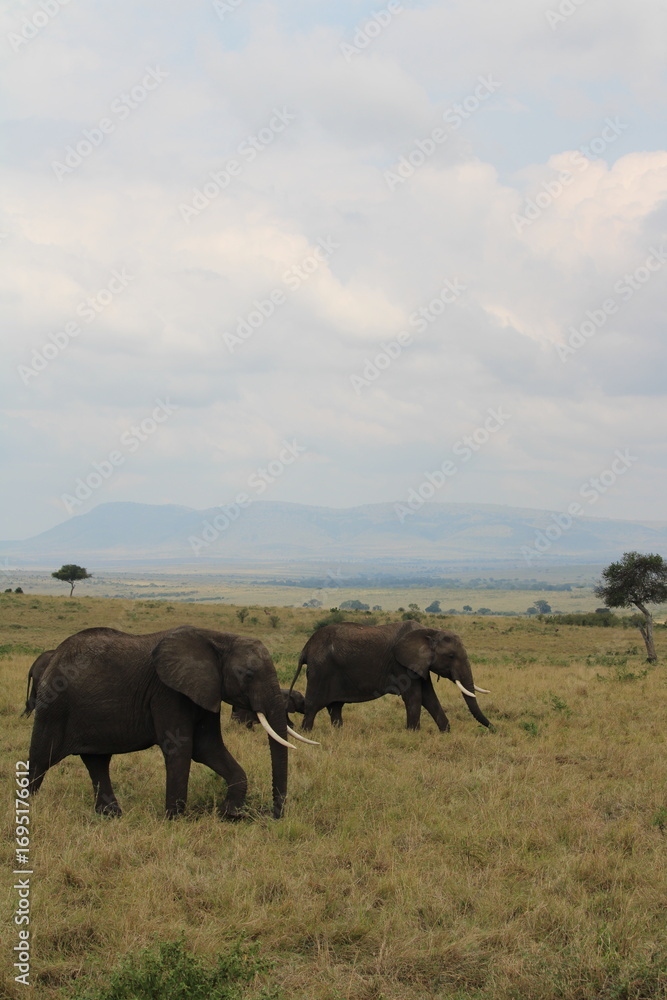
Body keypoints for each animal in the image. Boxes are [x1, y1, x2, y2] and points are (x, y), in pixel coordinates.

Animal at [27, 625, 317, 820]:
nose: (271, 815)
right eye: (247, 674)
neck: (219, 638)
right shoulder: (167, 692)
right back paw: (29, 807)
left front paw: (229, 814)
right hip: (54, 705)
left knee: (97, 762)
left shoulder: (204, 691)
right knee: (42, 758)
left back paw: (112, 816)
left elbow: (208, 748)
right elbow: (180, 748)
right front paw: (174, 820)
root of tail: (54, 657)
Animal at [291, 619, 491, 732]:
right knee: (313, 706)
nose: (493, 729)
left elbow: (429, 697)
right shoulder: (401, 665)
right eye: (450, 656)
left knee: (335, 707)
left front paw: (446, 732)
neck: (430, 631)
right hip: (320, 670)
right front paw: (413, 733)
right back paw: (306, 733)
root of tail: (306, 648)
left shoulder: (419, 665)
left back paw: (339, 733)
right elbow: (415, 697)